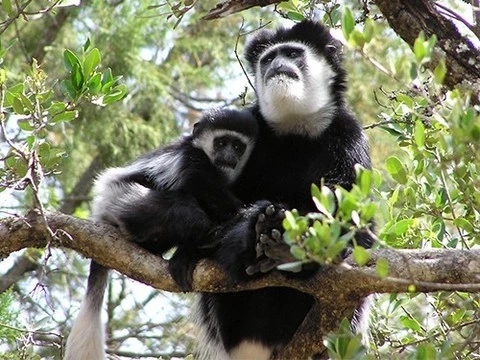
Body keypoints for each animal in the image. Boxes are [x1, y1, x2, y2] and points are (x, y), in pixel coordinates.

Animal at [66, 107, 258, 360]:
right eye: (221, 142)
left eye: (237, 146)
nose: (229, 156)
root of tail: (101, 216)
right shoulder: (191, 160)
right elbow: (208, 191)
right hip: (123, 200)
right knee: (182, 209)